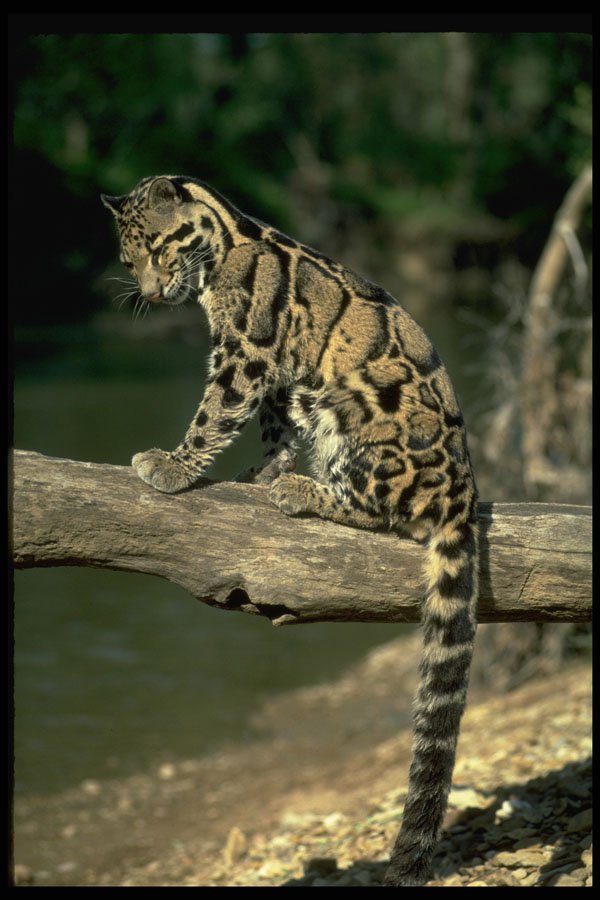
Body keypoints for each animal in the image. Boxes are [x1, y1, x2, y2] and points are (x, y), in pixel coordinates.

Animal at [102, 175, 479, 886]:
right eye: (128, 260)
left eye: (159, 250)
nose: (152, 293)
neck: (220, 251)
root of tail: (464, 494)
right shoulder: (280, 376)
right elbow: (274, 426)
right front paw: (255, 471)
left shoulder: (245, 351)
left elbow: (216, 412)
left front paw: (173, 466)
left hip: (356, 407)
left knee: (380, 509)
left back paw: (302, 492)